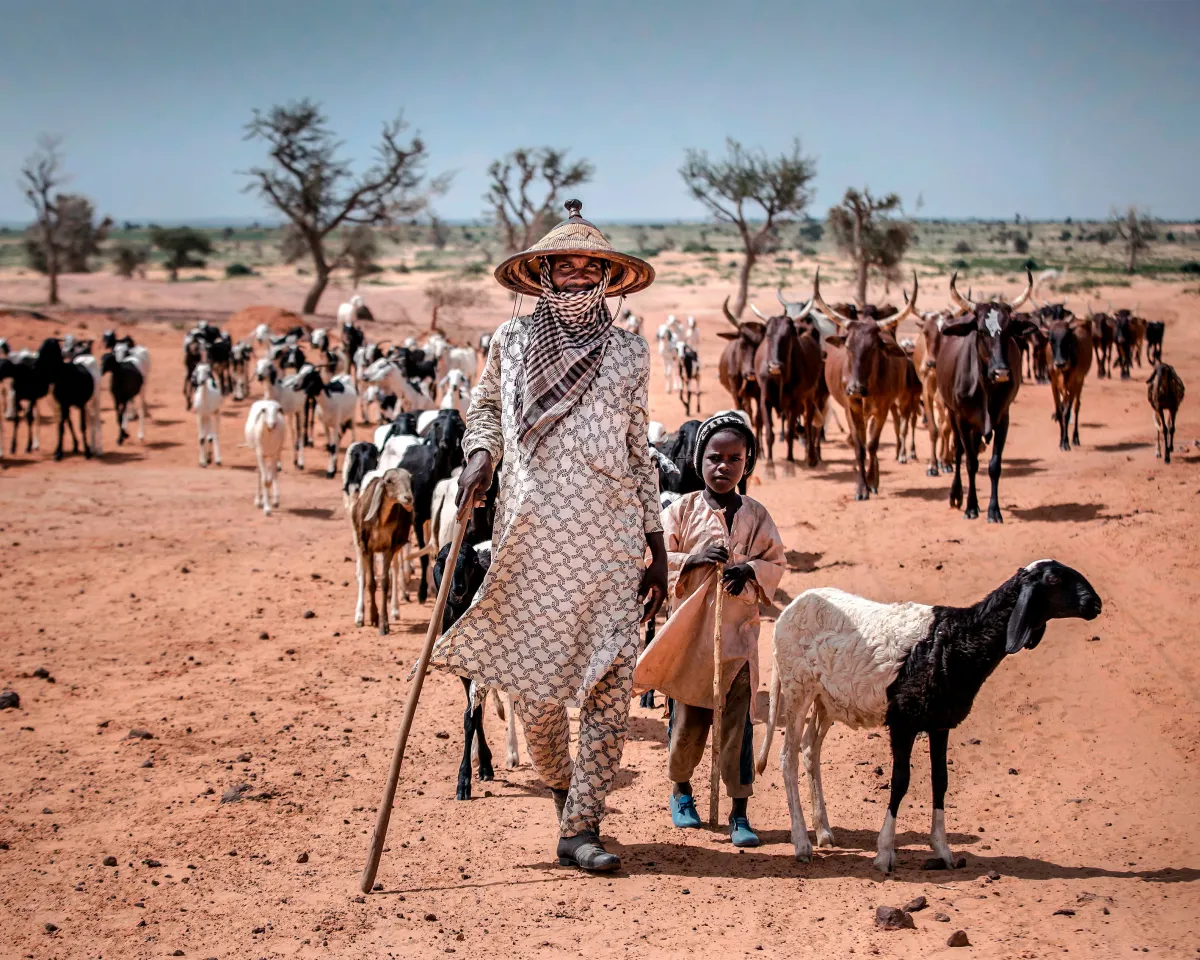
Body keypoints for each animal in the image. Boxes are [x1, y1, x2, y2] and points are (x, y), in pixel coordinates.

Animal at [350, 468, 415, 638]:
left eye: (409, 478)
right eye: (389, 481)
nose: (408, 498)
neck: (381, 521)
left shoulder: (389, 549)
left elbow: (385, 582)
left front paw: (383, 624)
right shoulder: (367, 548)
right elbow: (370, 583)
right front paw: (373, 616)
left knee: (395, 570)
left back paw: (395, 609)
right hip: (359, 544)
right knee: (362, 574)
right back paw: (360, 615)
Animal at [758, 561, 1104, 868]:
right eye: (1054, 580)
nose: (1096, 604)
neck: (957, 640)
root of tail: (792, 607)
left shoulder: (940, 723)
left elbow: (941, 780)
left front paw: (943, 850)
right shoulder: (903, 721)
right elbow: (901, 781)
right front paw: (885, 853)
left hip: (826, 700)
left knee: (809, 751)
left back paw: (824, 832)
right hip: (796, 687)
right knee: (787, 758)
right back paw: (802, 844)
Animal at [931, 270, 1036, 525]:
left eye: (1008, 330)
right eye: (980, 330)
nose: (1002, 373)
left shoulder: (1003, 419)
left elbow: (994, 465)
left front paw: (993, 510)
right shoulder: (961, 419)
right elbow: (970, 462)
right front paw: (971, 506)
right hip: (953, 414)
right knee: (959, 451)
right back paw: (956, 495)